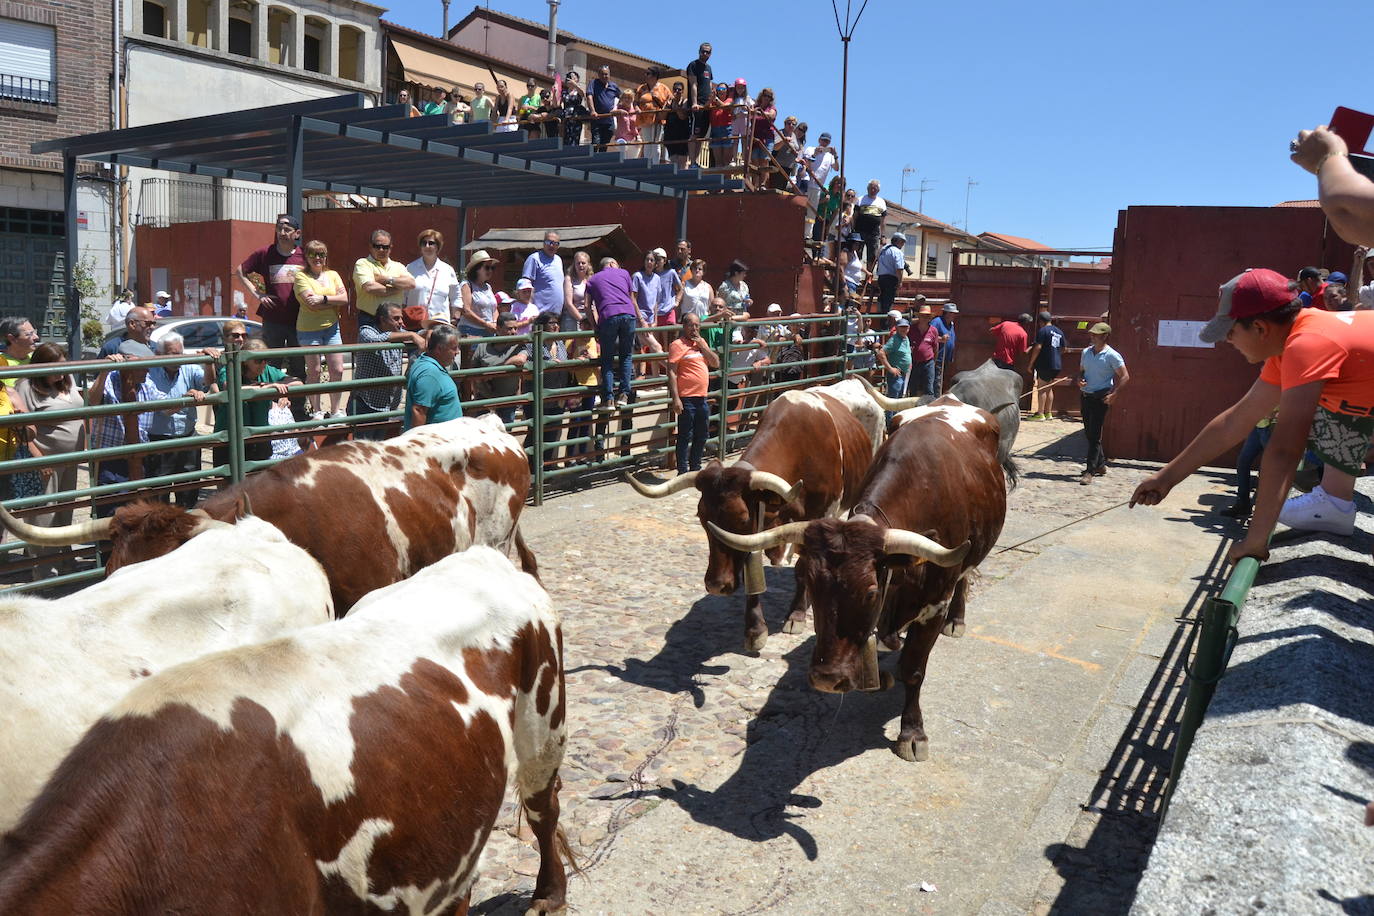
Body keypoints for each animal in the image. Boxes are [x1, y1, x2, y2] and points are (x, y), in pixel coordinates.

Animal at [626, 379, 879, 650]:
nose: (716, 585)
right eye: (702, 520)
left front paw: (797, 614)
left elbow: (803, 568)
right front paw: (755, 629)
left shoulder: (818, 516)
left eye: (741, 520)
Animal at [714, 398, 1005, 763]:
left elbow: (914, 670)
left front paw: (912, 732)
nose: (827, 679)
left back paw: (957, 621)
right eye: (812, 588)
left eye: (869, 593)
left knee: (965, 580)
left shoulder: (934, 604)